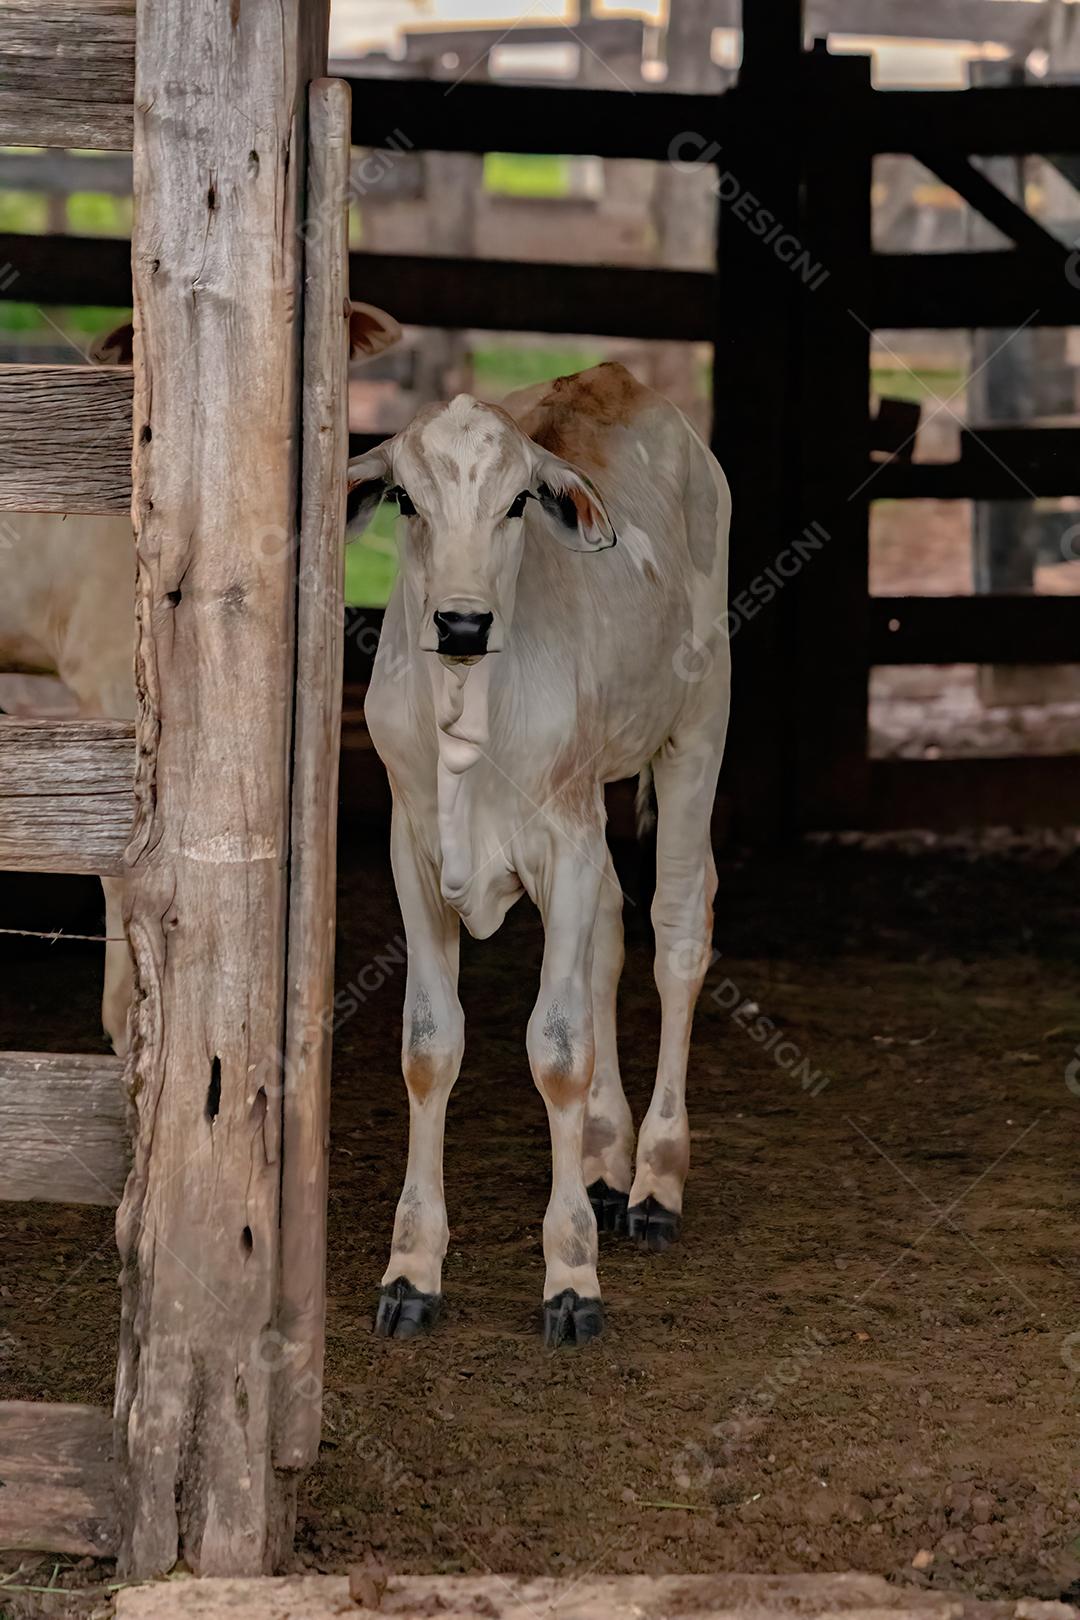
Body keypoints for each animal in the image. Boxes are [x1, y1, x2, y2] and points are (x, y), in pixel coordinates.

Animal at [347, 361, 731, 1347]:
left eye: (518, 500)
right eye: (405, 498)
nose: (462, 623)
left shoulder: (566, 841)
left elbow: (558, 1049)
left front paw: (571, 1279)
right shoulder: (414, 854)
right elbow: (429, 1045)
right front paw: (411, 1271)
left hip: (696, 730)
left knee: (677, 930)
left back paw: (654, 1179)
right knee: (609, 943)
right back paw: (603, 1160)